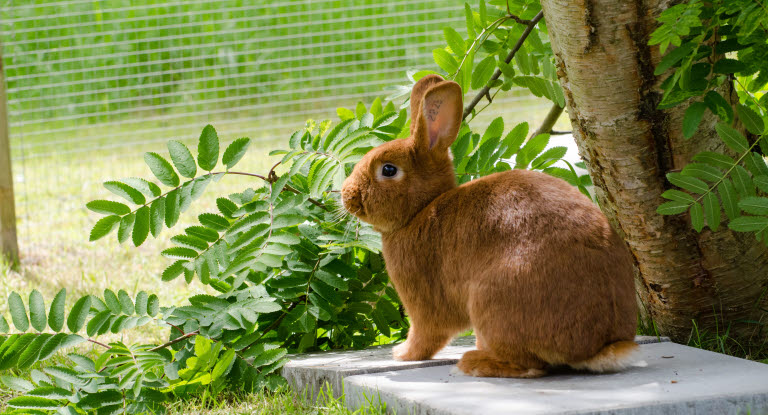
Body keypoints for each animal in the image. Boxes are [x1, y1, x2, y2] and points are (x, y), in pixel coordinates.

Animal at [340, 75, 636, 380]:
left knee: (530, 366)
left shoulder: (424, 301)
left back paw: (474, 362)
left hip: (491, 300)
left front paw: (402, 354)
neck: (421, 210)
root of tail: (597, 347)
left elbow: (427, 334)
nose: (347, 195)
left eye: (388, 170)